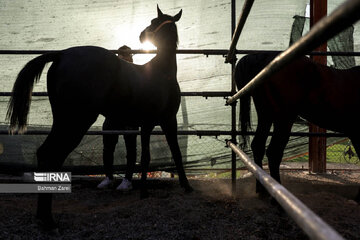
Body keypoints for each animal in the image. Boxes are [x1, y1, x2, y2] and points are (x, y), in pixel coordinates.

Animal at [6, 5, 191, 230]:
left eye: (155, 22)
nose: (142, 35)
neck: (161, 71)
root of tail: (62, 55)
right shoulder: (160, 122)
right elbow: (154, 156)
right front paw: (162, 190)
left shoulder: (156, 124)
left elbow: (171, 154)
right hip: (76, 121)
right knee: (53, 154)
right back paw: (49, 220)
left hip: (63, 120)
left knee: (44, 153)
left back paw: (44, 217)